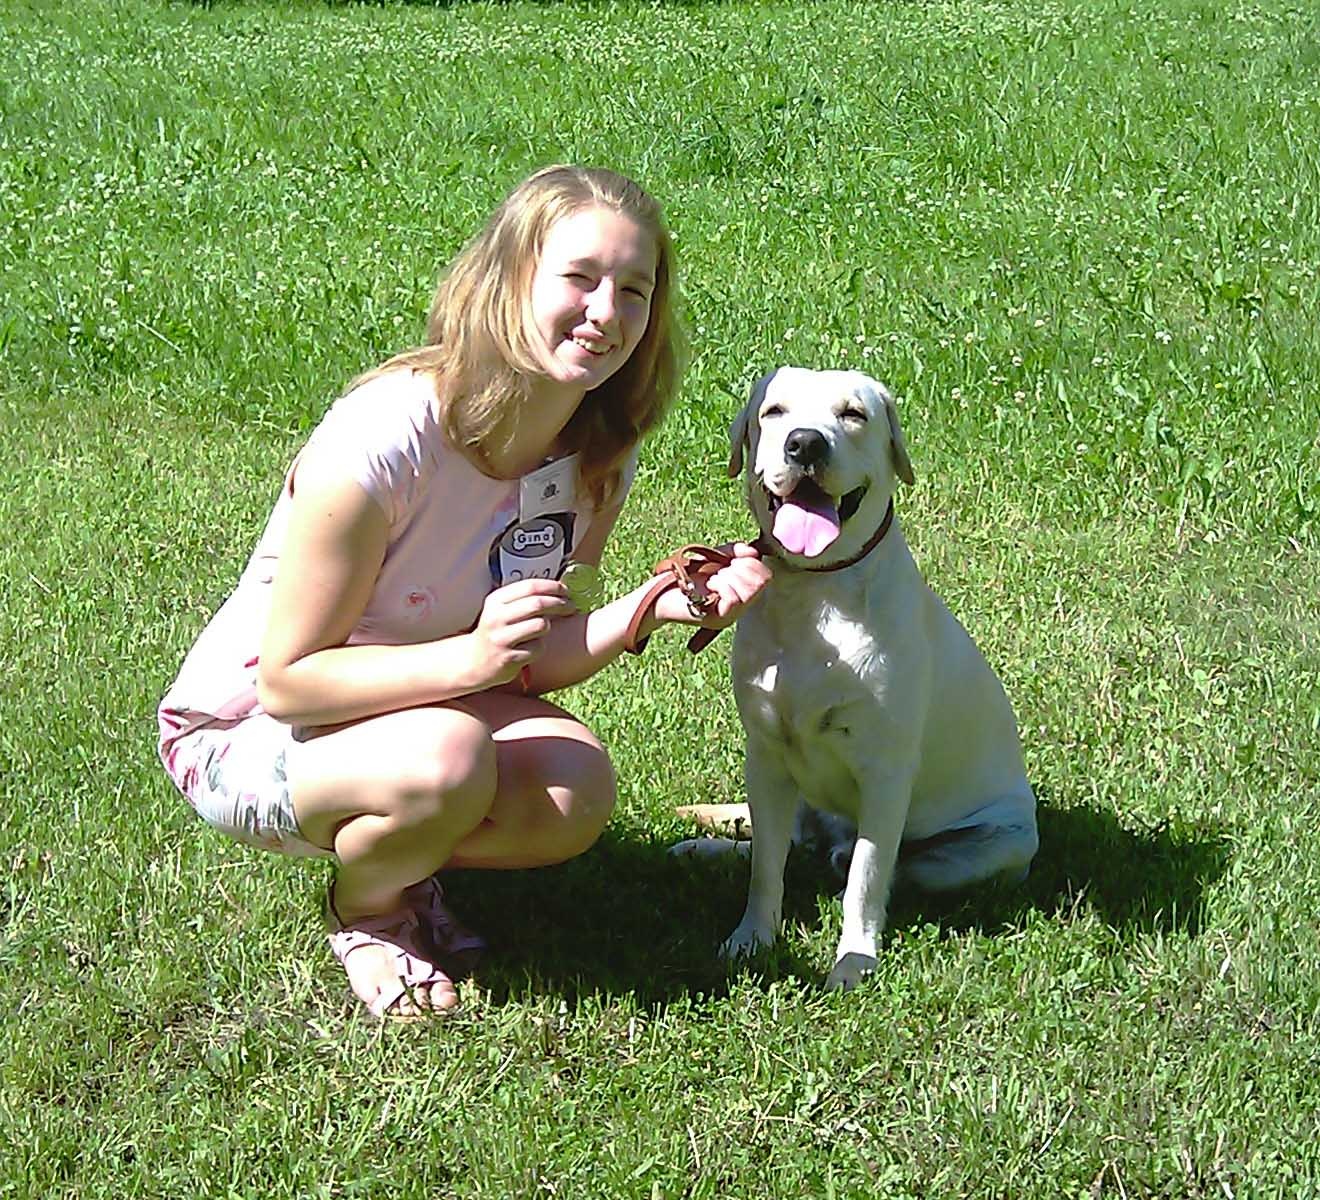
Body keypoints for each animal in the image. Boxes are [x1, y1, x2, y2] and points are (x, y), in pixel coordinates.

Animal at [690, 366, 1038, 991]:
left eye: (854, 414)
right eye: (773, 411)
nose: (805, 443)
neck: (815, 593)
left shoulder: (885, 775)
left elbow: (867, 877)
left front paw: (854, 959)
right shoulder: (767, 756)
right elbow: (766, 870)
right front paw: (751, 938)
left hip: (989, 847)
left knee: (883, 867)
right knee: (787, 843)